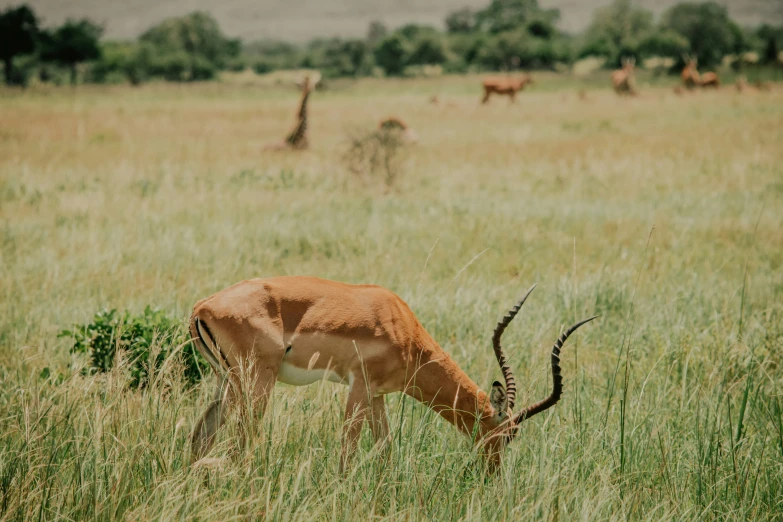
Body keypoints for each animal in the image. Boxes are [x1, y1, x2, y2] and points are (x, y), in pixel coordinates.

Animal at [188, 276, 596, 472]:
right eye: (508, 435)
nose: (491, 472)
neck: (402, 329)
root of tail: (202, 305)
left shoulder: (378, 395)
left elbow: (386, 449)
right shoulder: (358, 387)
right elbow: (348, 450)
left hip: (227, 381)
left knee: (201, 435)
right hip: (257, 381)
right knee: (242, 442)